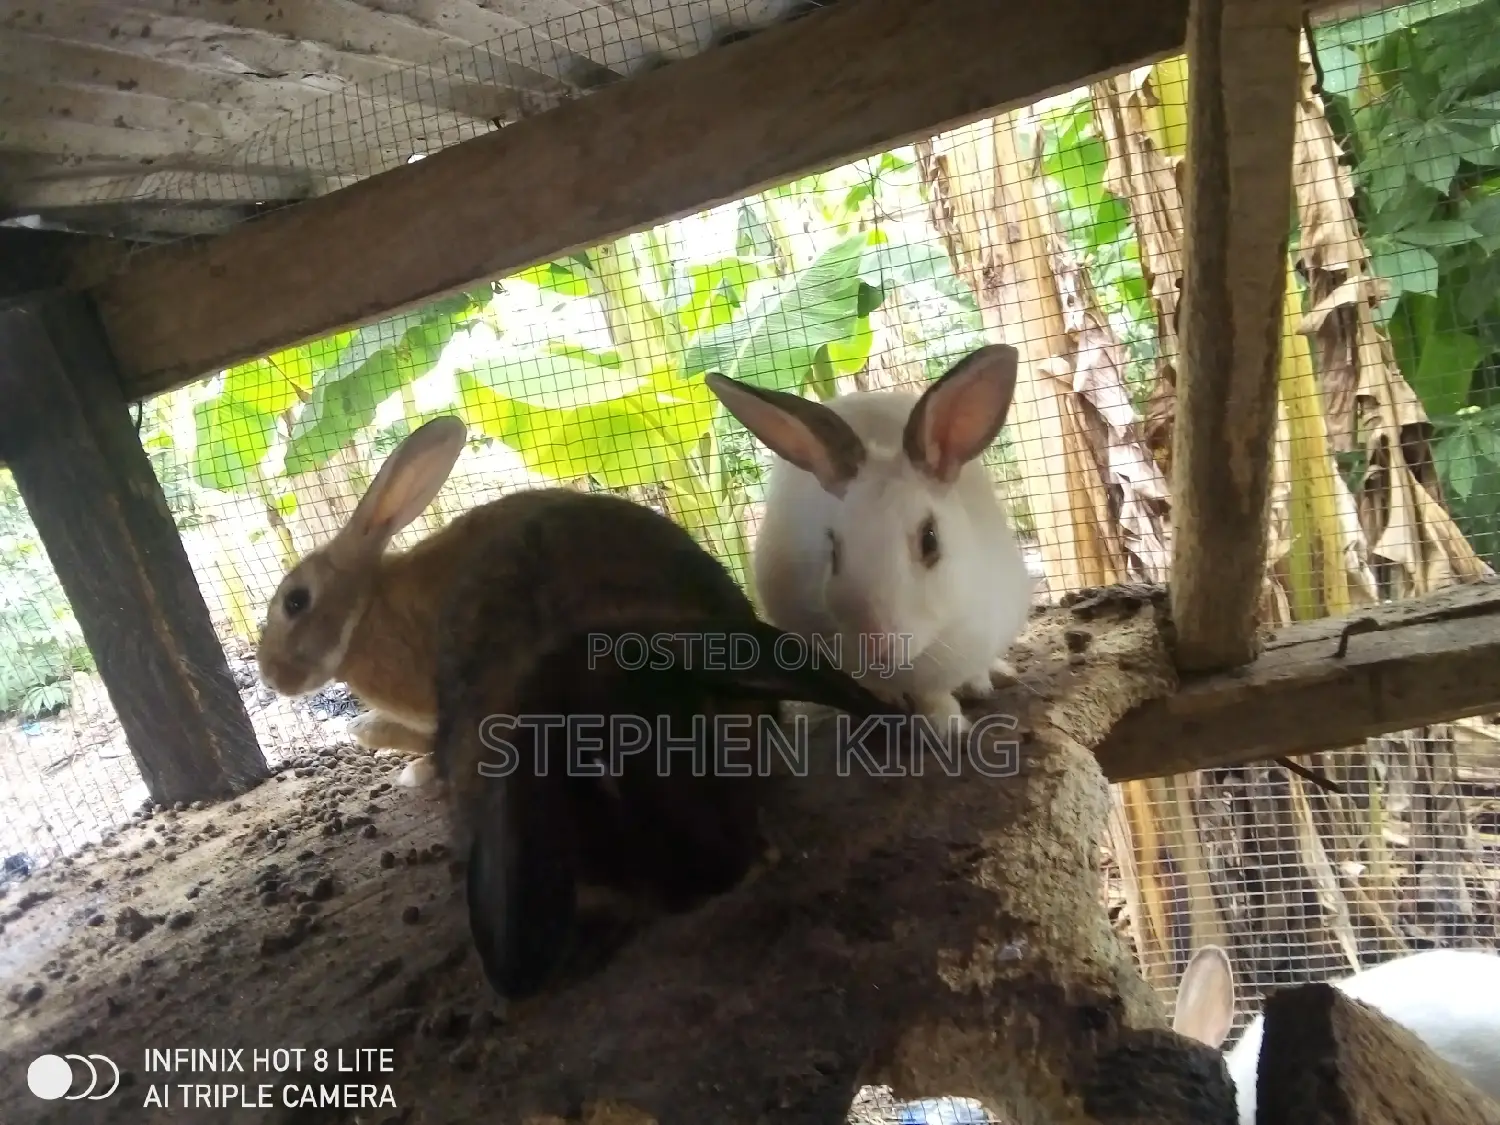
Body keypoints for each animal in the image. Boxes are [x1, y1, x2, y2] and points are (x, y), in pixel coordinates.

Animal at [705, 344, 1035, 742]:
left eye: (930, 540)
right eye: (833, 550)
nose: (876, 646)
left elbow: (944, 688)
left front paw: (952, 720)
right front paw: (923, 716)